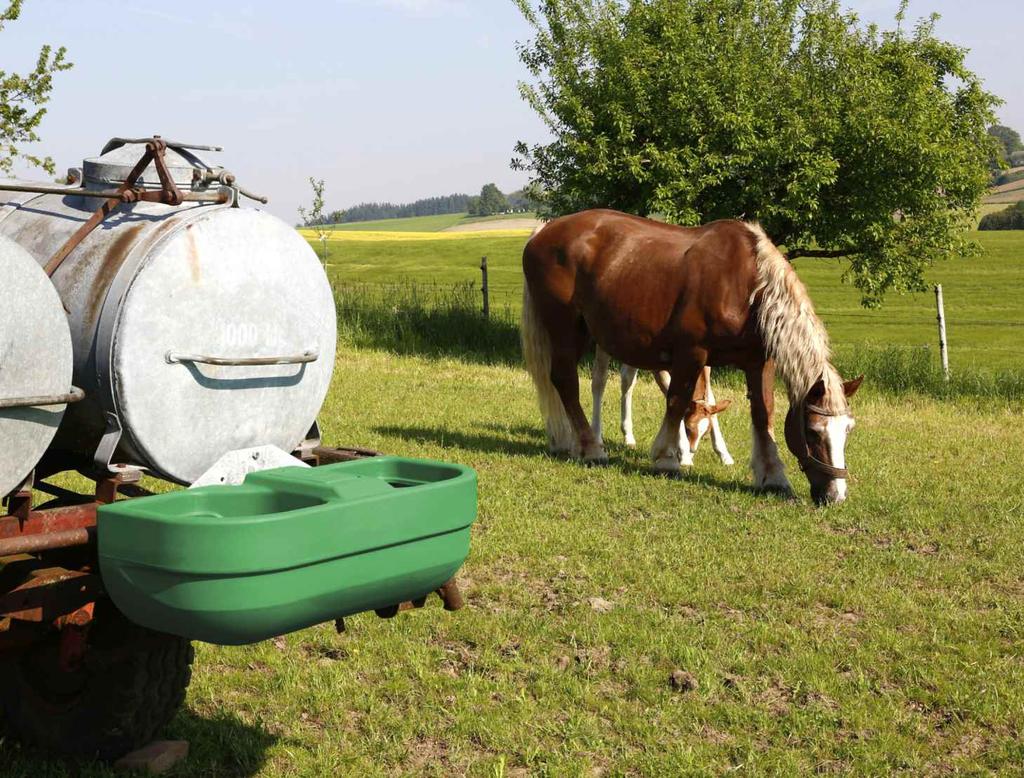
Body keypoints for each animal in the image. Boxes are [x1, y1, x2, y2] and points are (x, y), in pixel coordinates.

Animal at [589, 350, 733, 464]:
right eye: (687, 428)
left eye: (705, 434)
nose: (692, 450)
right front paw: (684, 456)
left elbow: (710, 398)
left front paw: (724, 455)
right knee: (599, 378)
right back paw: (596, 438)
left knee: (627, 378)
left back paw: (628, 436)